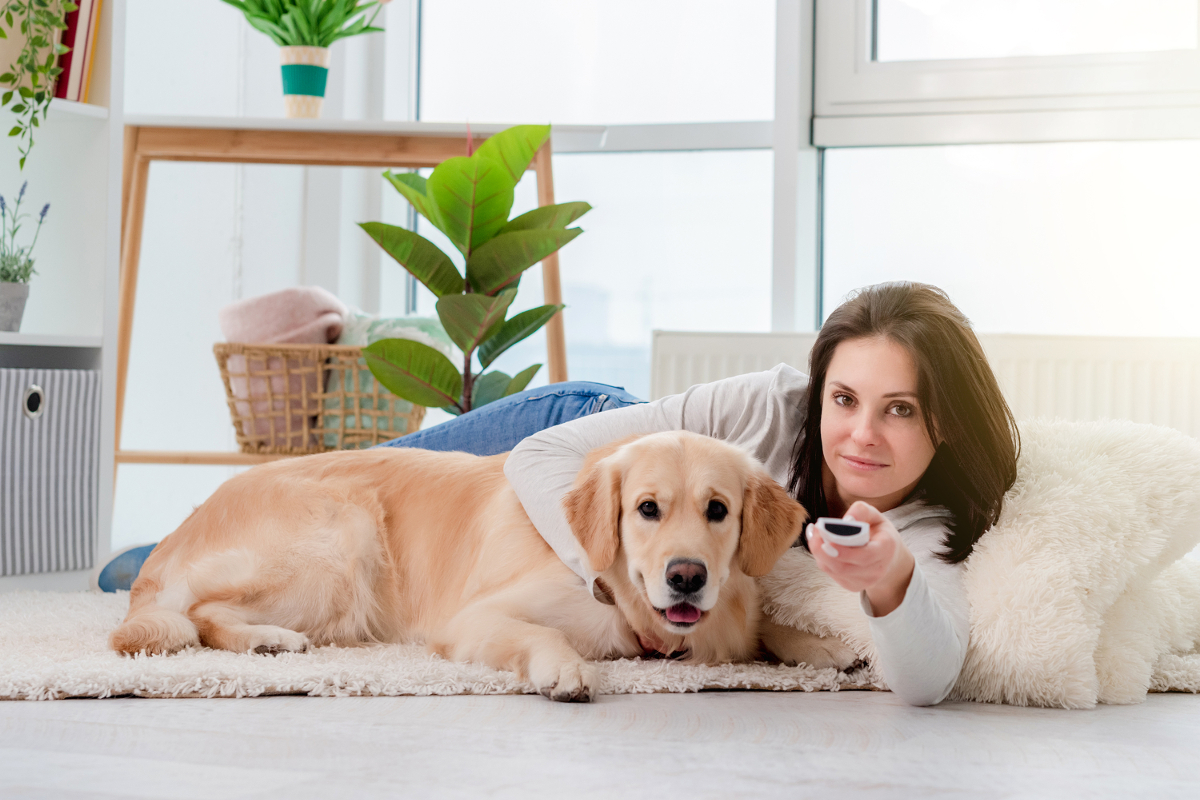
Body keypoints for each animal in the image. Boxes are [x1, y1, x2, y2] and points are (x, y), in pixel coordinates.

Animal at [110, 431, 806, 700]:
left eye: (717, 510)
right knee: (199, 612)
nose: (687, 576)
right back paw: (266, 639)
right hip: (345, 537)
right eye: (647, 509)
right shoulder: (475, 618)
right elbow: (546, 636)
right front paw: (566, 670)